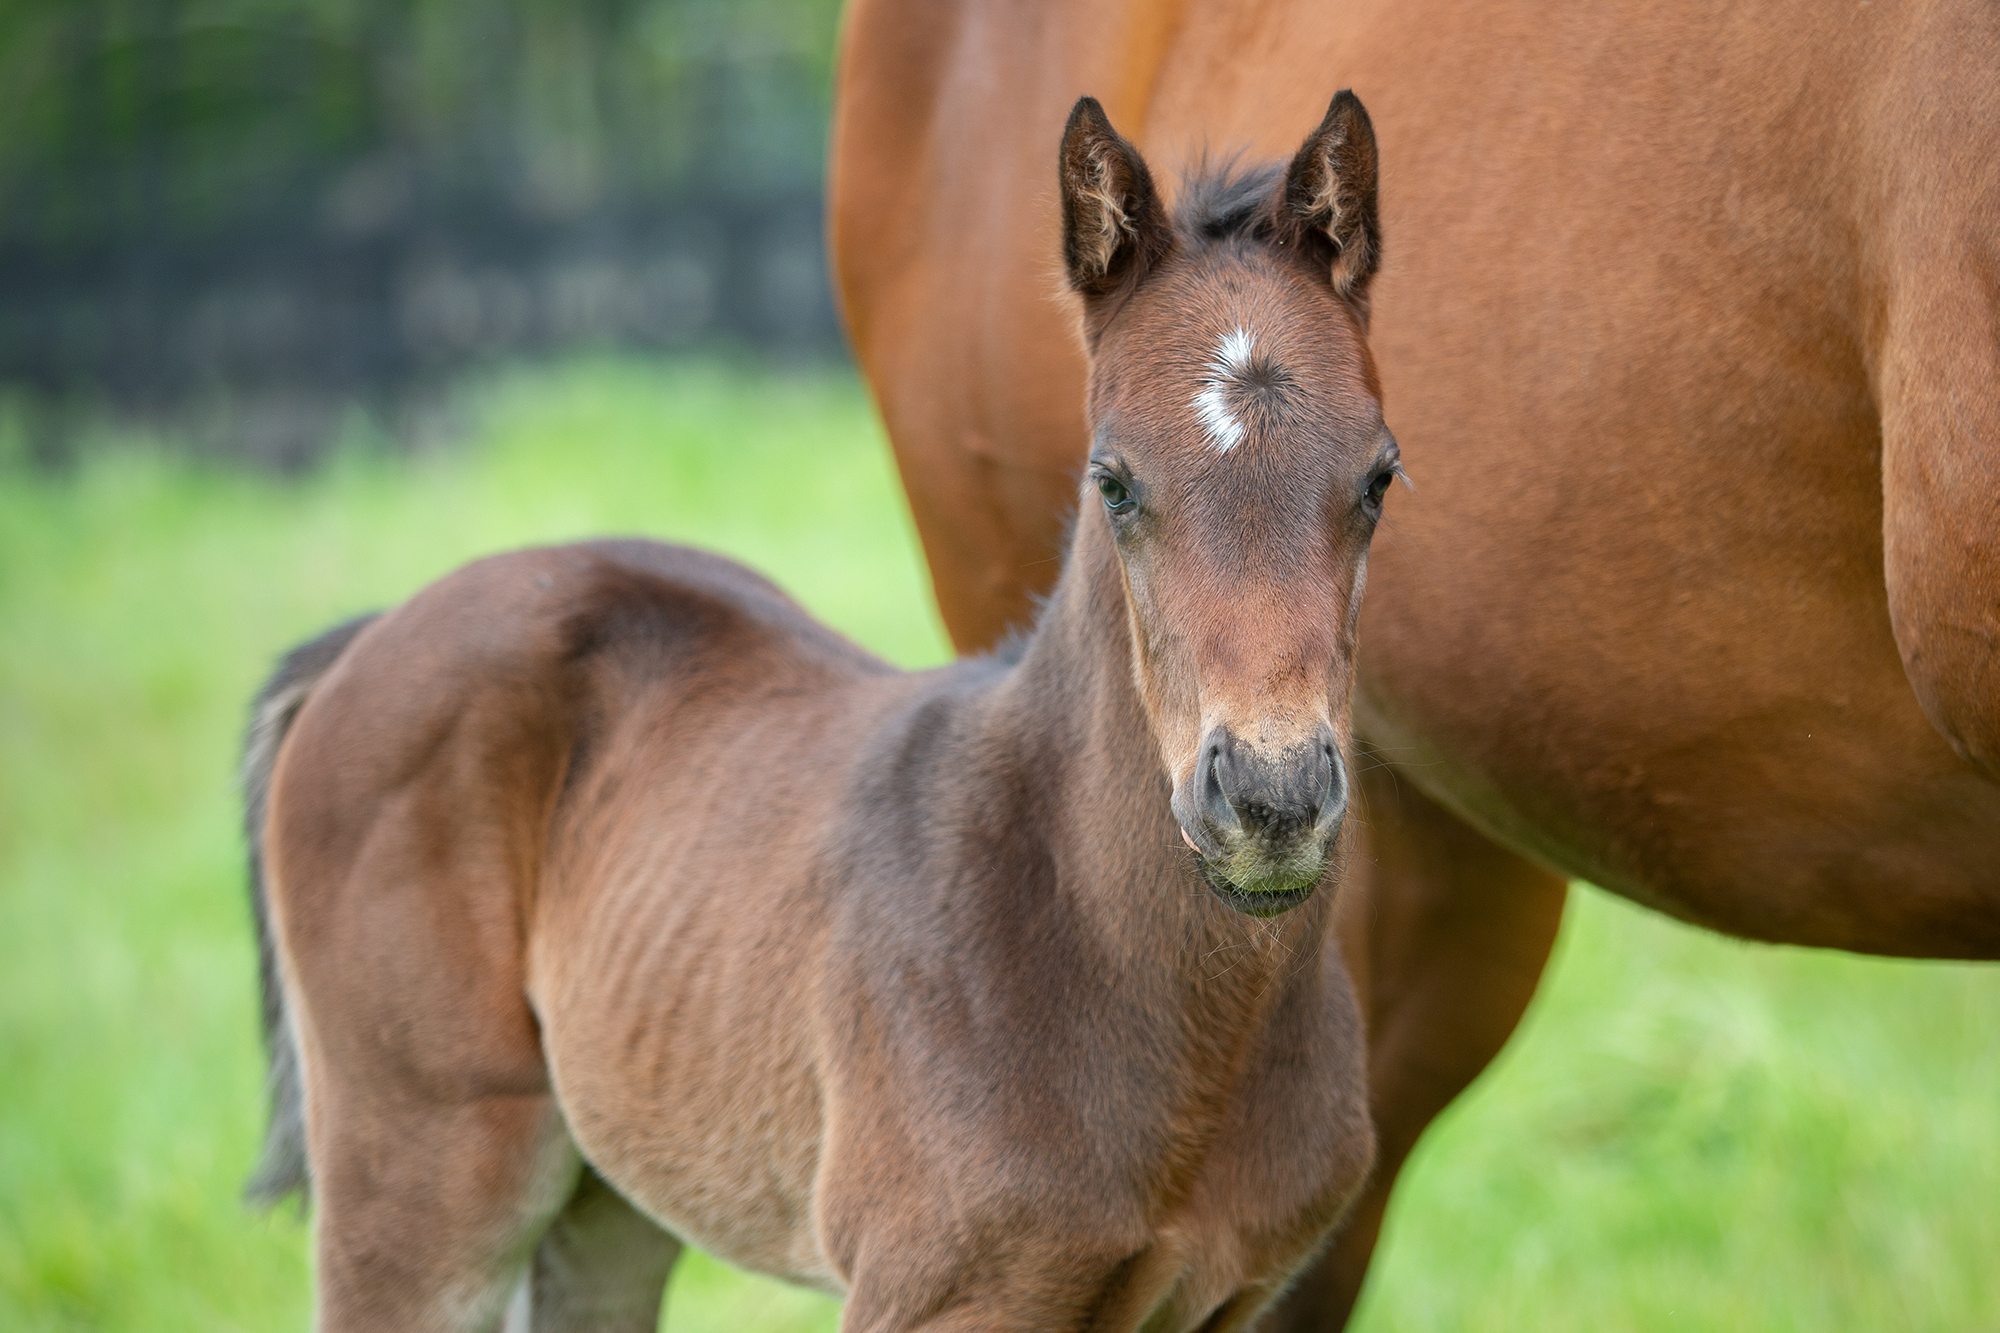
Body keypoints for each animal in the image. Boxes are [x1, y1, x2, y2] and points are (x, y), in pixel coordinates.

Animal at [250, 96, 1400, 1328]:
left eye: (1380, 477)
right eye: (1113, 481)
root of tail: (376, 631)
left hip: (606, 1200)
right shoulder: (931, 1295)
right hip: (418, 1178)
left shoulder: (1240, 1298)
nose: (1271, 799)